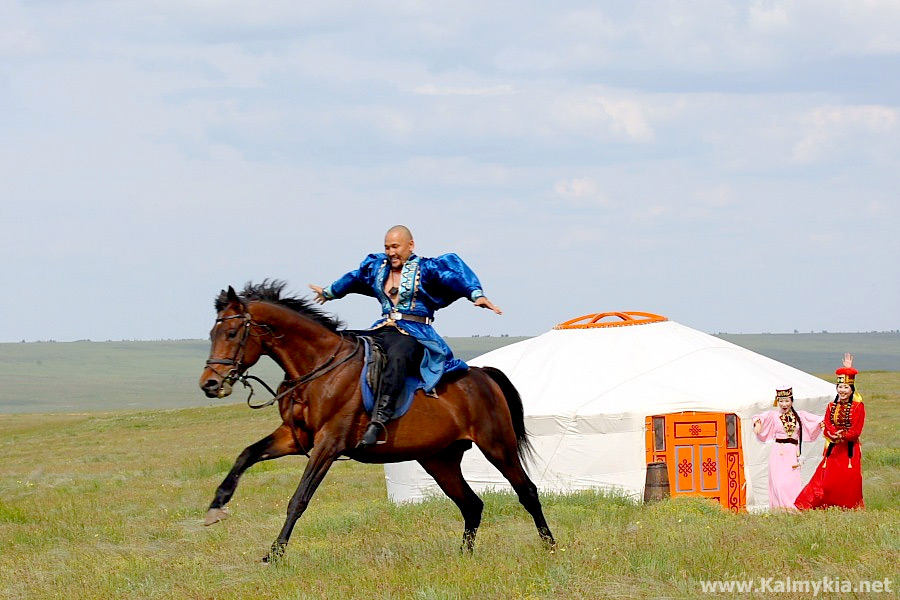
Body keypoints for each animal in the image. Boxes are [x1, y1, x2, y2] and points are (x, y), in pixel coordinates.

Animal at [200, 282, 552, 564]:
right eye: (212, 334)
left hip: (497, 446)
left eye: (231, 333)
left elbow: (298, 499)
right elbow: (246, 454)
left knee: (527, 491)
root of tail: (483, 375)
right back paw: (465, 556)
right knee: (471, 504)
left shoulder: (329, 444)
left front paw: (274, 554)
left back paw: (550, 547)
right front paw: (216, 507)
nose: (210, 384)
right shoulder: (295, 436)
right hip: (439, 459)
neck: (319, 368)